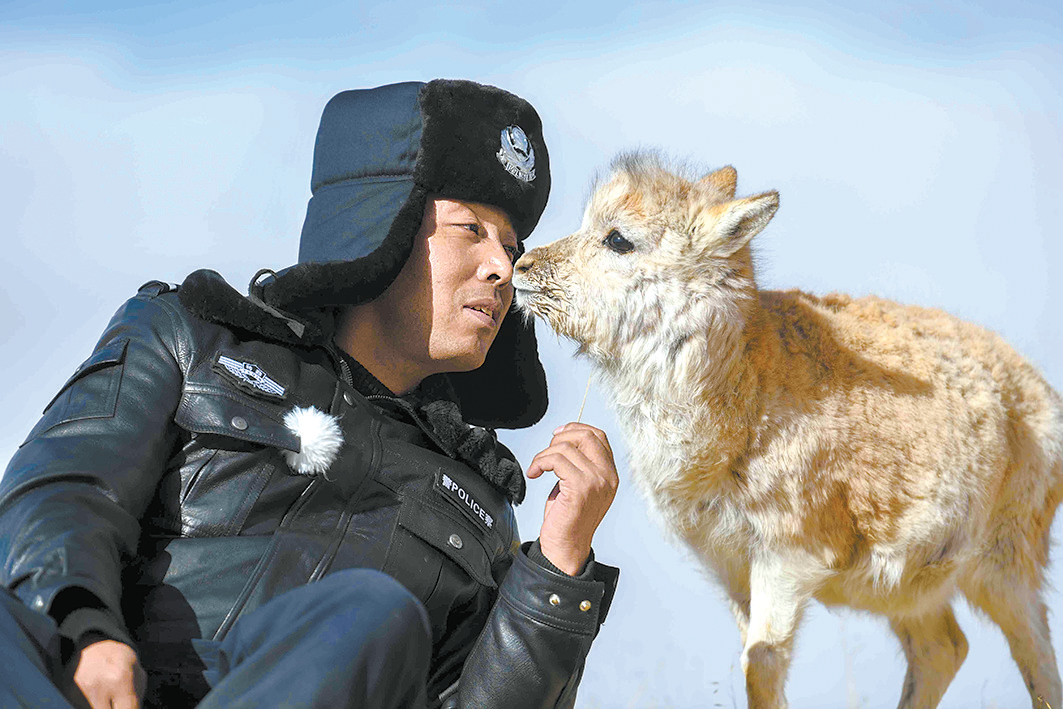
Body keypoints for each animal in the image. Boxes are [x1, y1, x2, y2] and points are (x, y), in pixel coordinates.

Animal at [513, 151, 1063, 709]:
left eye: (618, 238)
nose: (522, 266)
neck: (747, 387)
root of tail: (1037, 386)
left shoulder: (786, 560)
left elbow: (762, 665)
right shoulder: (735, 571)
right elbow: (753, 658)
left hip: (1005, 574)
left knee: (1036, 658)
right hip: (909, 589)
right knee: (944, 648)